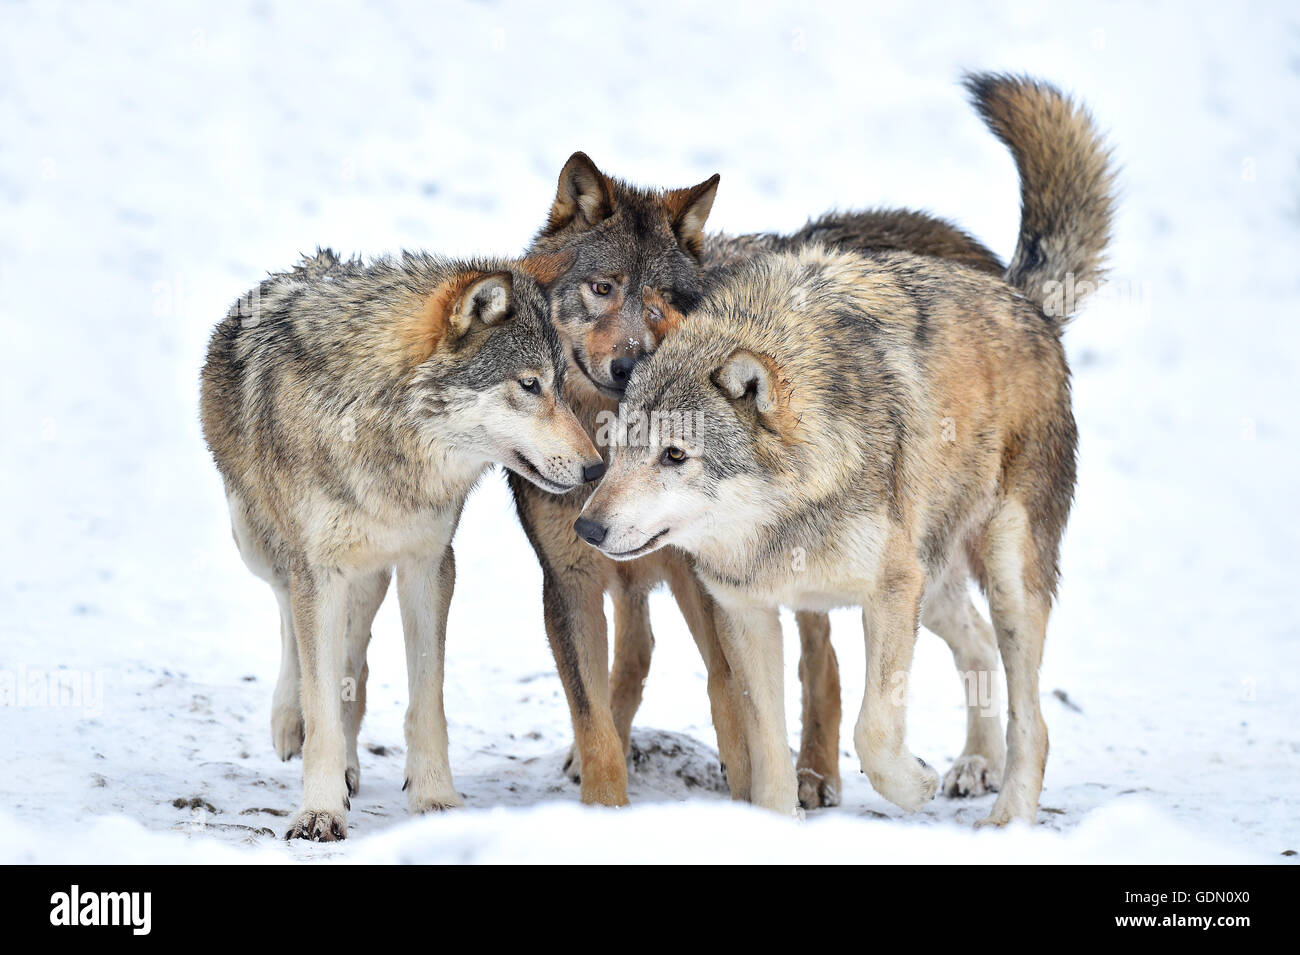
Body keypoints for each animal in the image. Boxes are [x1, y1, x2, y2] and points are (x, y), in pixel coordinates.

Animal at [198, 250, 603, 841]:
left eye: (560, 385)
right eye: (529, 385)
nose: (596, 469)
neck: (383, 430)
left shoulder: (430, 564)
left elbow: (426, 701)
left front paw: (436, 798)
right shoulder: (318, 571)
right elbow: (321, 703)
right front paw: (319, 812)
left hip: (366, 573)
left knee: (353, 661)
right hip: (258, 543)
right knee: (289, 619)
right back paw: (290, 722)